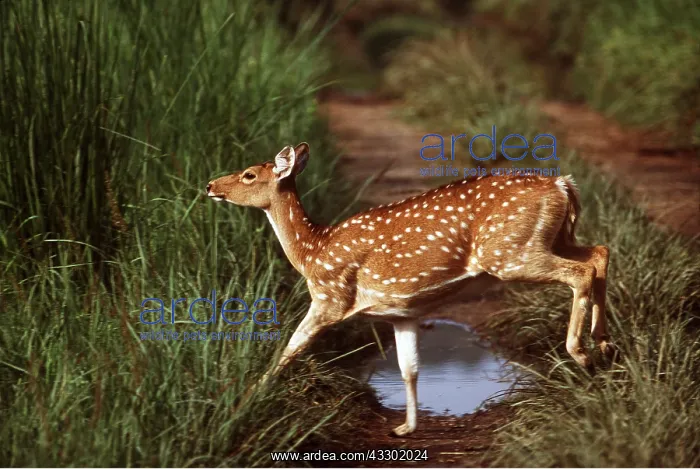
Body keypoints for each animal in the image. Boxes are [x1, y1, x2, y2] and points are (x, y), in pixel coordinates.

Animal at [206, 142, 616, 436]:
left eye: (248, 174)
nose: (210, 186)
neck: (312, 252)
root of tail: (562, 184)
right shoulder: (402, 313)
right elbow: (409, 369)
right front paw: (406, 427)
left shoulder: (330, 297)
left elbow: (289, 347)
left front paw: (244, 401)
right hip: (551, 239)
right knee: (599, 253)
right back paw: (605, 345)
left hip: (509, 253)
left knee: (581, 271)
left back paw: (581, 353)